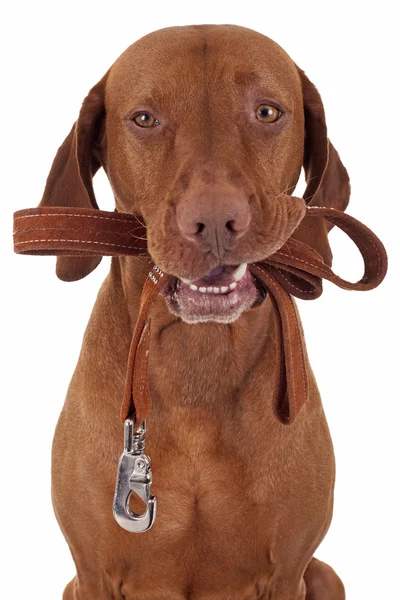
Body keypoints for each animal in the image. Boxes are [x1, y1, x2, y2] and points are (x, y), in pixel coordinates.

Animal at [39, 24, 350, 600]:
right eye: (145, 119)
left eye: (267, 112)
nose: (215, 220)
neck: (196, 360)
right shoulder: (91, 575)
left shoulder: (288, 573)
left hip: (324, 573)